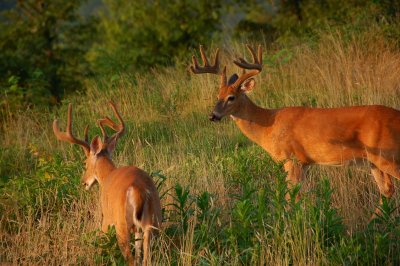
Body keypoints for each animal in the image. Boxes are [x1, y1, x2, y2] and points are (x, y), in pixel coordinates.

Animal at [52, 101, 162, 264]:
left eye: (85, 163)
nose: (83, 182)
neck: (107, 175)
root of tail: (139, 189)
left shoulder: (106, 217)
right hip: (153, 221)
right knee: (145, 258)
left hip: (121, 223)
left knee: (130, 258)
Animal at [190, 44, 400, 215]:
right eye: (218, 95)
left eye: (231, 97)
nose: (213, 116)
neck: (269, 124)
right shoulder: (305, 163)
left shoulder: (291, 159)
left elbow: (290, 198)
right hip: (373, 161)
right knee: (387, 190)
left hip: (387, 155)